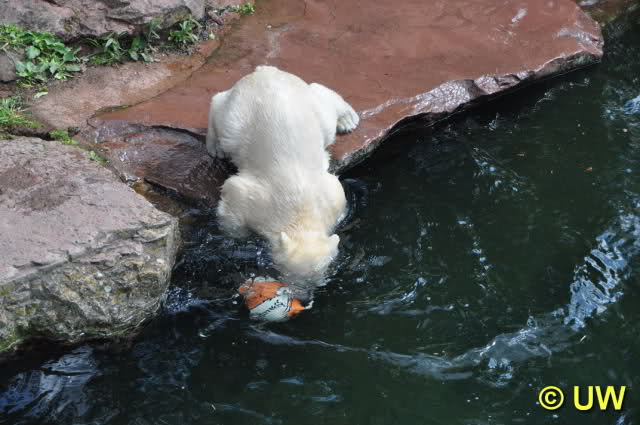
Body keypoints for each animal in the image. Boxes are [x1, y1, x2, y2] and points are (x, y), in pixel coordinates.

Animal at [206, 65, 360, 279]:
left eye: (317, 279)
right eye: (287, 275)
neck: (301, 213)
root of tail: (266, 70)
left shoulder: (332, 198)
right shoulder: (257, 201)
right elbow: (233, 197)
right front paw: (233, 240)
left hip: (309, 107)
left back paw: (347, 120)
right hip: (239, 112)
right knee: (221, 111)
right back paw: (215, 146)